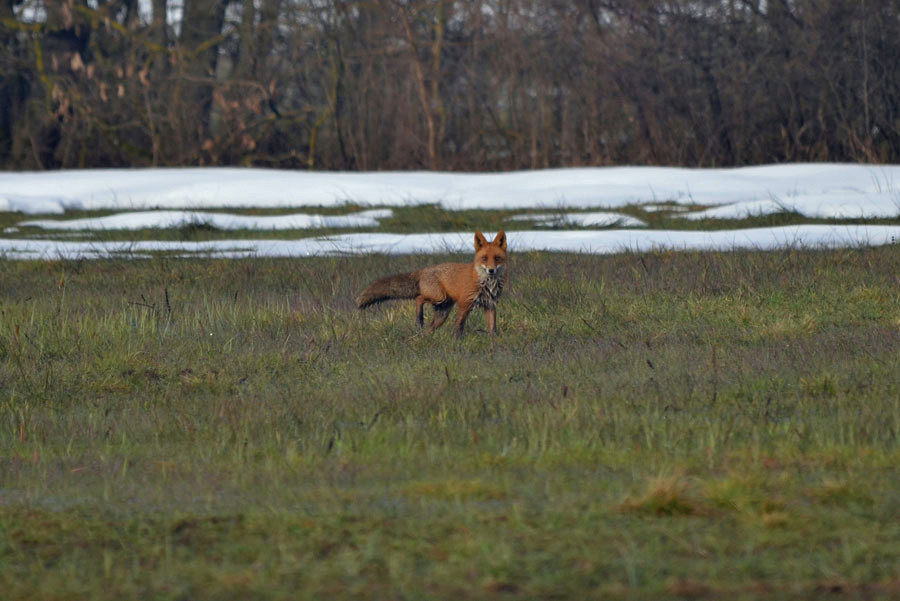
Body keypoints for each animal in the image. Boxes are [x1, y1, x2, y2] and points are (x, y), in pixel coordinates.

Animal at [356, 229, 506, 336]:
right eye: (484, 258)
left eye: (497, 258)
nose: (491, 270)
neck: (485, 283)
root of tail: (423, 270)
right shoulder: (464, 304)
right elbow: (458, 328)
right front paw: (456, 343)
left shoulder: (490, 305)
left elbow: (493, 330)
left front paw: (494, 346)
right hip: (439, 298)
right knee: (418, 298)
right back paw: (419, 319)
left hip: (442, 313)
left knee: (429, 329)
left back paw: (423, 338)